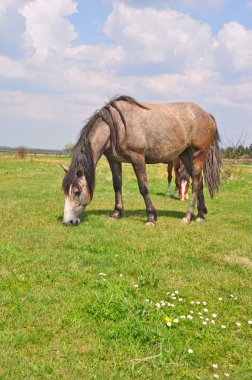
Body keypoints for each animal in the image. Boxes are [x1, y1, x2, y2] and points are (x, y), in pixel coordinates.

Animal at [62, 95, 221, 226]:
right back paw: (200, 215)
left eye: (77, 192)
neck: (116, 126)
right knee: (199, 182)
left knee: (196, 183)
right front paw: (116, 214)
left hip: (198, 155)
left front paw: (151, 217)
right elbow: (117, 185)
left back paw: (188, 216)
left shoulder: (137, 158)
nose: (68, 221)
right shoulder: (114, 160)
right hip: (185, 156)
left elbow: (143, 187)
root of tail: (207, 115)